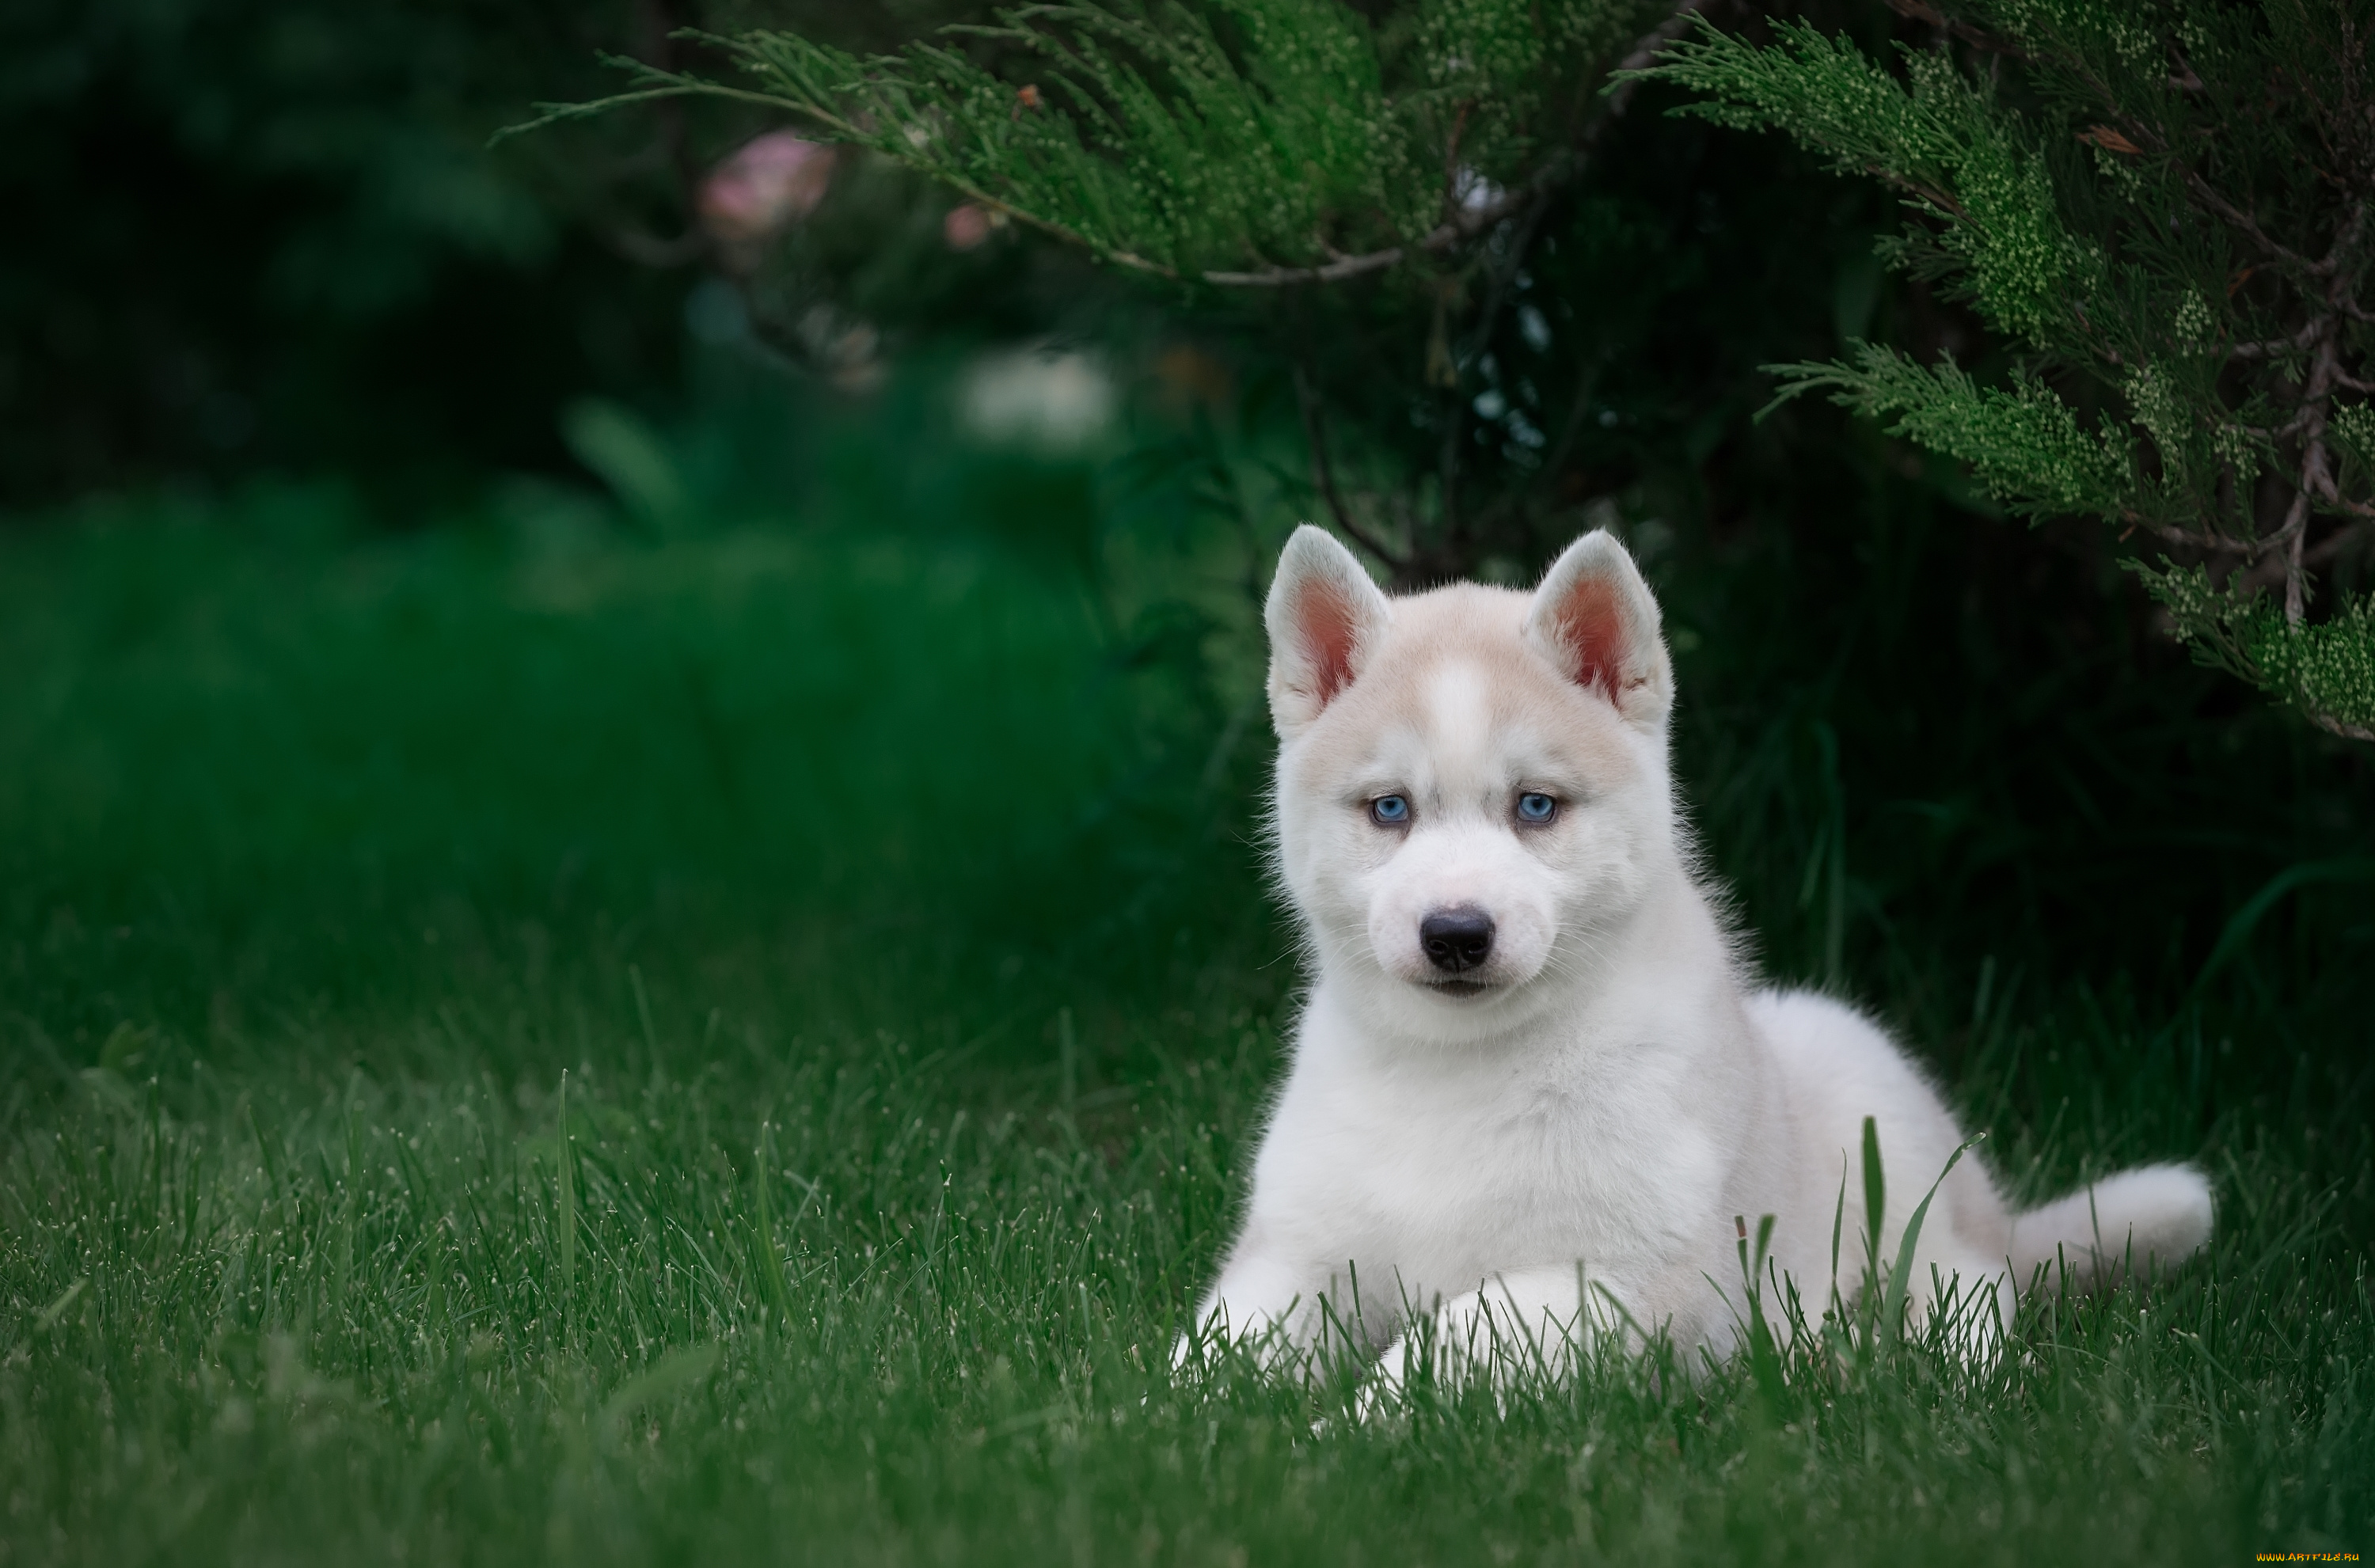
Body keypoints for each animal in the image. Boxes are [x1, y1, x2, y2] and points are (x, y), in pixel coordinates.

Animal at [1197, 522, 2214, 1387]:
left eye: (1536, 806)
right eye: (1389, 809)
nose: (1455, 932)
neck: (1459, 1070)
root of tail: (1996, 1215)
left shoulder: (1611, 1280)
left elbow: (1436, 1351)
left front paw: (1346, 1427)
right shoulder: (1294, 1252)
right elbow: (1207, 1355)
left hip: (1869, 1103)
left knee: (1967, 1292)